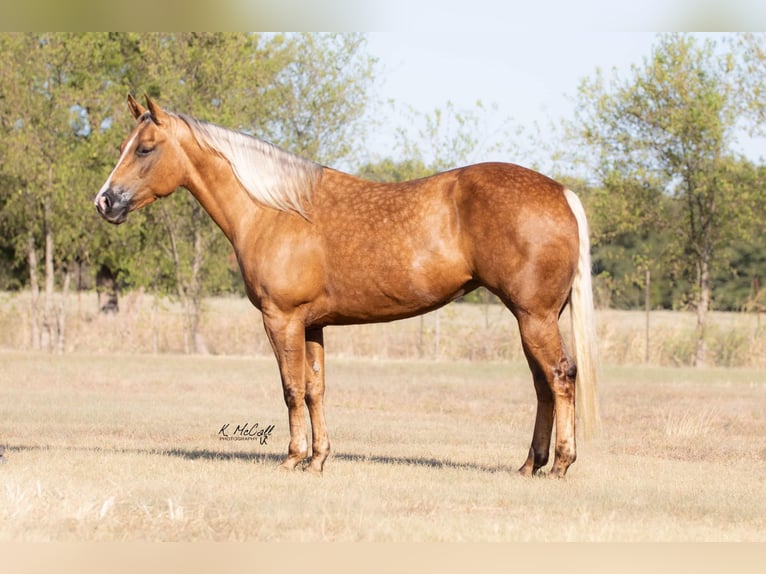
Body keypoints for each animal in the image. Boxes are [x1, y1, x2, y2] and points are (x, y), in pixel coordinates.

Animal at [94, 97, 600, 480]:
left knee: (560, 377)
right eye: (124, 145)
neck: (274, 210)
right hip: (535, 318)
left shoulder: (281, 318)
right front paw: (318, 460)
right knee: (543, 385)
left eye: (145, 149)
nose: (105, 202)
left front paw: (292, 458)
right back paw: (529, 466)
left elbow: (291, 389)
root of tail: (561, 192)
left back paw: (560, 465)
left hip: (533, 316)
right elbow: (315, 390)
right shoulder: (312, 325)